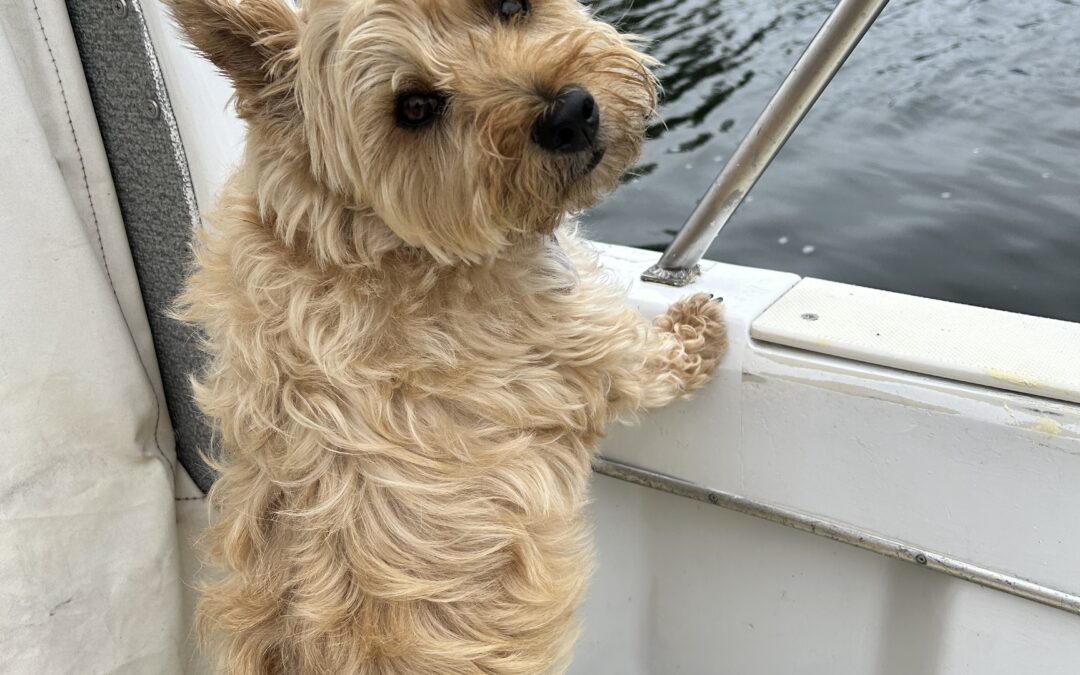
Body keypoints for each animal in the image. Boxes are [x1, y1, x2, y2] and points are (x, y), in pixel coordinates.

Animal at [170, 0, 725, 669]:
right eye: (413, 108)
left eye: (509, 7)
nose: (569, 114)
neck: (365, 238)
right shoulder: (588, 341)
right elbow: (660, 362)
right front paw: (698, 324)